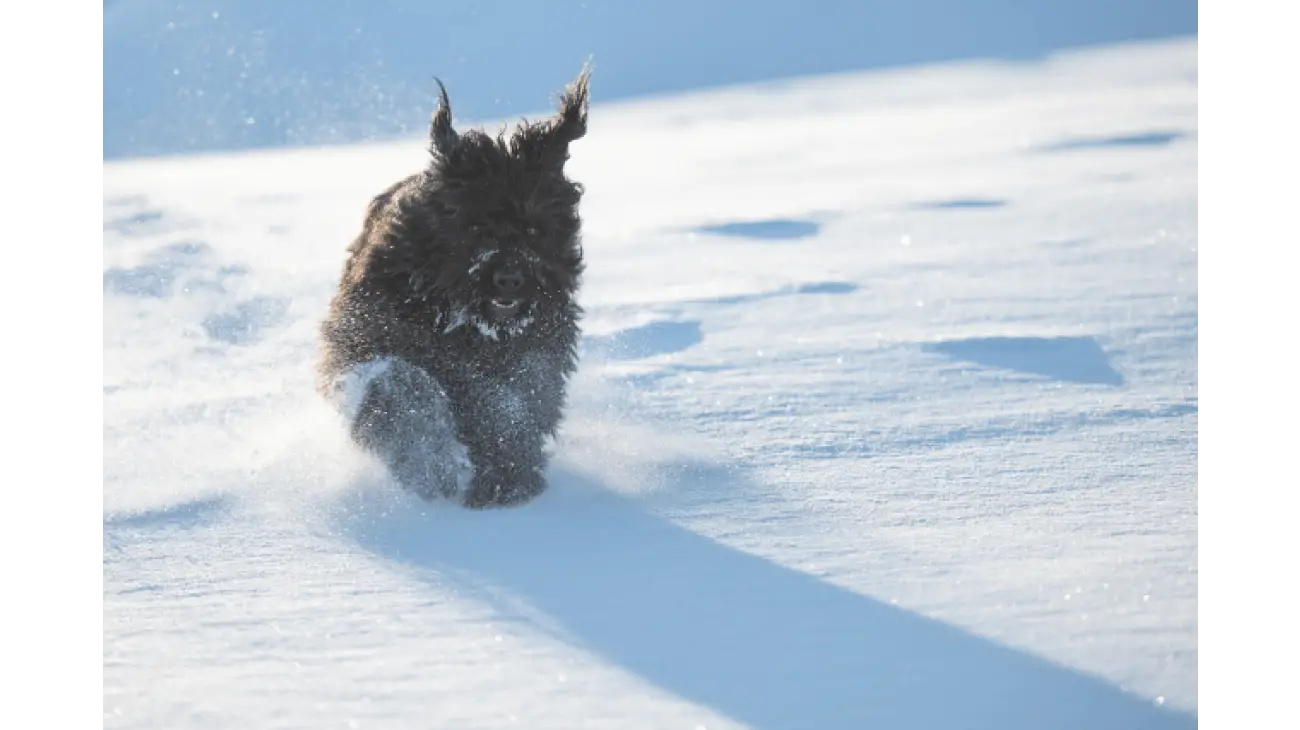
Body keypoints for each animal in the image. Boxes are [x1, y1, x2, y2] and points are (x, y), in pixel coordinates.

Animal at [317, 66, 592, 506]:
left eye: (534, 228)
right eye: (475, 226)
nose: (510, 279)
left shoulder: (538, 354)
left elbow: (514, 411)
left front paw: (507, 478)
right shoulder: (371, 338)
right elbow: (405, 389)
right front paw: (426, 461)